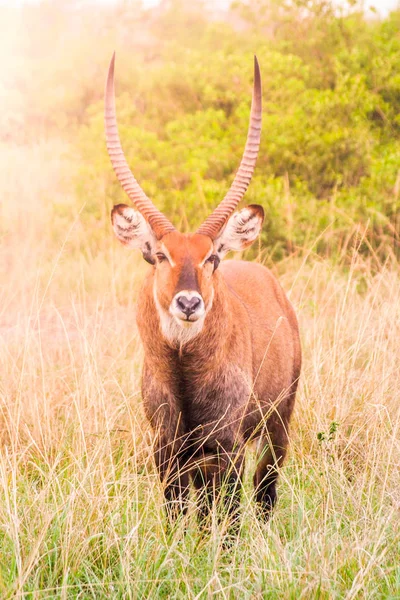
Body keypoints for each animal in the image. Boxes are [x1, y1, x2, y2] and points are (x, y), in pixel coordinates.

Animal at [104, 54, 302, 524]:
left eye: (211, 257)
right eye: (160, 255)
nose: (189, 303)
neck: (183, 371)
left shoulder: (227, 445)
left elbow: (229, 517)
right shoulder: (167, 448)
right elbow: (178, 514)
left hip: (276, 427)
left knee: (264, 490)